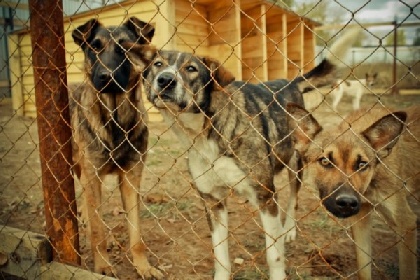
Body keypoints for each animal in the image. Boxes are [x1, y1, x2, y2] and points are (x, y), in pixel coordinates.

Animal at [69, 17, 162, 278]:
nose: (106, 76)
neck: (115, 120)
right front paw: (102, 265)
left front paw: (143, 266)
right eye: (95, 47)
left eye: (124, 48)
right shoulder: (93, 176)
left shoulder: (131, 178)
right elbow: (98, 231)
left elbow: (136, 235)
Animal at [288, 104, 420, 280]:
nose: (347, 203)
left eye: (362, 165)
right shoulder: (360, 217)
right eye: (325, 161)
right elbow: (363, 270)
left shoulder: (405, 222)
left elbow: (407, 271)